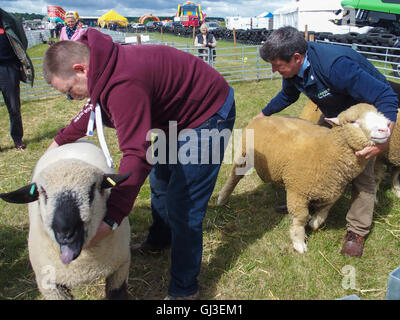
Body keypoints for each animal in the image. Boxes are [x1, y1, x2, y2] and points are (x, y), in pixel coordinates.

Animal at [0, 140, 131, 300]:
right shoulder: (50, 285)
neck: (81, 268)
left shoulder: (120, 267)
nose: (66, 234)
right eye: (43, 193)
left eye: (92, 190)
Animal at [219, 104, 390, 254]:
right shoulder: (298, 191)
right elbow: (300, 218)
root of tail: (261, 118)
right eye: (353, 121)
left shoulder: (333, 190)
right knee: (234, 177)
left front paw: (314, 222)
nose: (386, 127)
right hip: (243, 156)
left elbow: (325, 210)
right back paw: (222, 198)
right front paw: (299, 243)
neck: (329, 149)